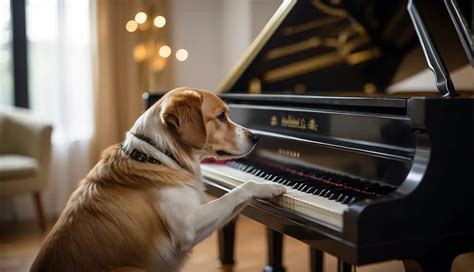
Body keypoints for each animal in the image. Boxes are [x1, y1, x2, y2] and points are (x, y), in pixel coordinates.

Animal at [32, 87, 288, 272]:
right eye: (221, 116)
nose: (256, 137)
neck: (158, 156)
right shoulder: (187, 228)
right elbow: (241, 189)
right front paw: (268, 186)